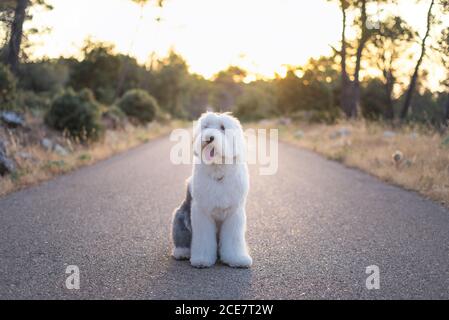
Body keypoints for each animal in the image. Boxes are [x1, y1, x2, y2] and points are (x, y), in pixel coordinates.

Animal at [171, 112, 250, 268]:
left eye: (223, 127)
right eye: (206, 127)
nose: (208, 138)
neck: (217, 168)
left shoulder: (234, 213)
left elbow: (234, 239)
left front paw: (237, 259)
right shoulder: (202, 212)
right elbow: (203, 239)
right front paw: (202, 260)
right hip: (179, 217)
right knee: (181, 238)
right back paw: (182, 252)